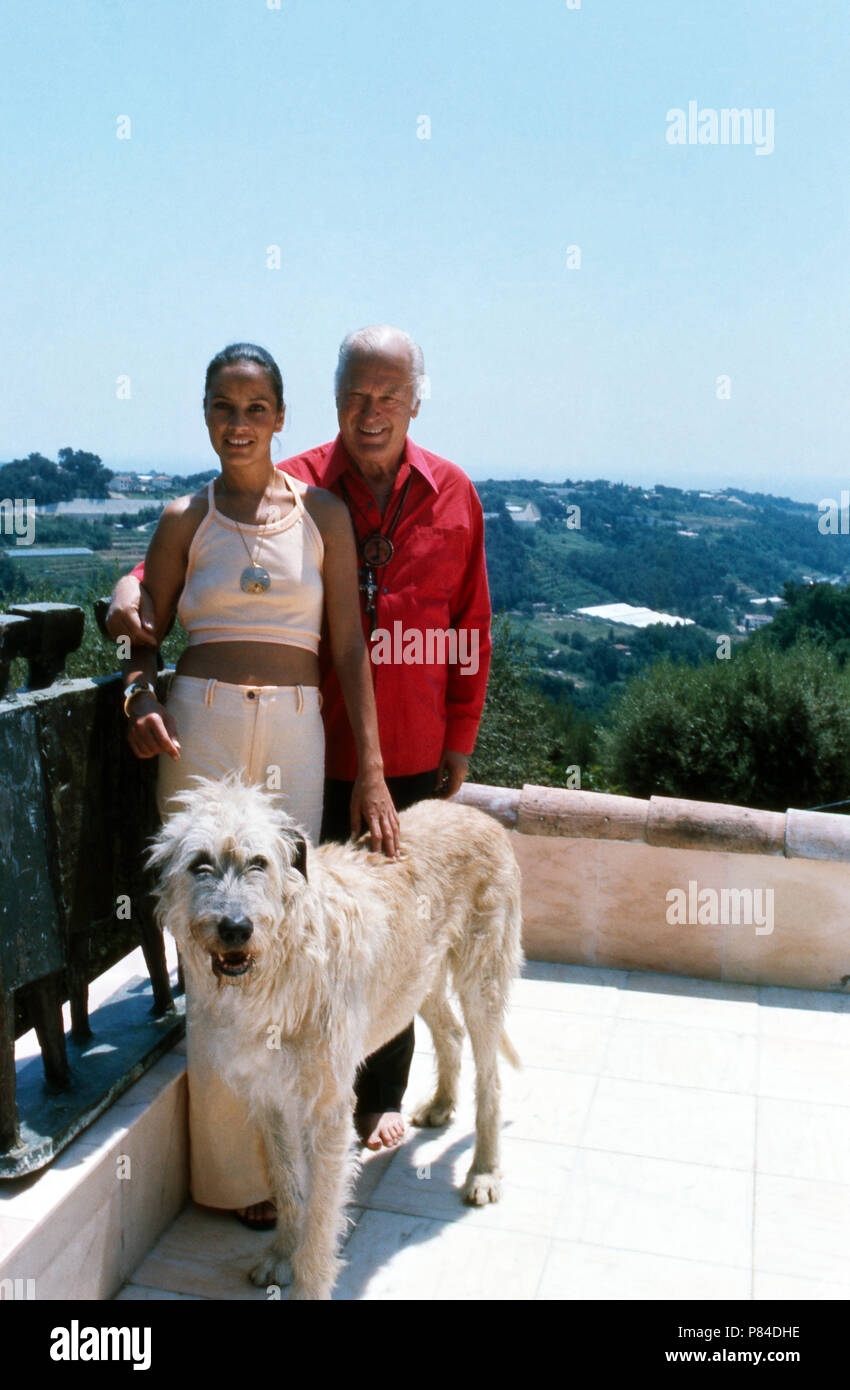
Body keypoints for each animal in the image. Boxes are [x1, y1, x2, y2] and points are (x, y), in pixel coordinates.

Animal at [151, 778, 525, 1295]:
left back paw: (484, 1171)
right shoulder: (269, 1098)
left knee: (489, 1077)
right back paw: (441, 1103)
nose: (235, 929)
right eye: (199, 864)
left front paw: (309, 1280)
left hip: (480, 982)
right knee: (449, 1031)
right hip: (416, 978)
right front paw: (281, 1252)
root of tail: (478, 813)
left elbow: (322, 1218)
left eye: (258, 863)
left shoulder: (327, 1109)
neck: (281, 963)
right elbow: (288, 1183)